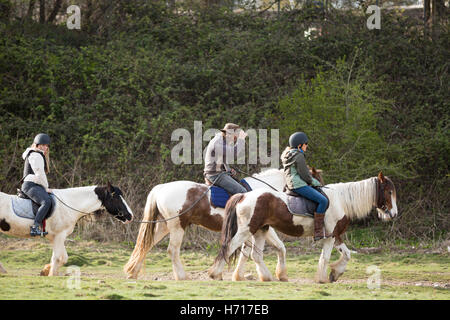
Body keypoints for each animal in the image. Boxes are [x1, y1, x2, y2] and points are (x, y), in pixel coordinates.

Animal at [0, 184, 134, 276]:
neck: (68, 204)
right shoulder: (60, 235)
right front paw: (51, 274)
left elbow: (58, 257)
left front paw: (46, 270)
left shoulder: (55, 238)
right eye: (116, 198)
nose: (130, 216)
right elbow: (61, 257)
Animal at [125, 169, 324, 282]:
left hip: (164, 226)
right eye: (317, 180)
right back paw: (181, 276)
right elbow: (279, 247)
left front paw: (238, 275)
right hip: (177, 227)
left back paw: (132, 272)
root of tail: (161, 188)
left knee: (146, 245)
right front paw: (279, 274)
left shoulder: (252, 230)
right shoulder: (259, 228)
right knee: (172, 250)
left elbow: (245, 253)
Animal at [209, 171, 400, 284]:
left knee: (255, 255)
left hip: (260, 230)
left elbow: (346, 255)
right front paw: (323, 278)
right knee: (228, 247)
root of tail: (243, 195)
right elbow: (325, 257)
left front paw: (335, 274)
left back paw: (268, 277)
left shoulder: (336, 236)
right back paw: (215, 274)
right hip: (246, 230)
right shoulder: (330, 237)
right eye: (389, 192)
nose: (394, 214)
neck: (341, 200)